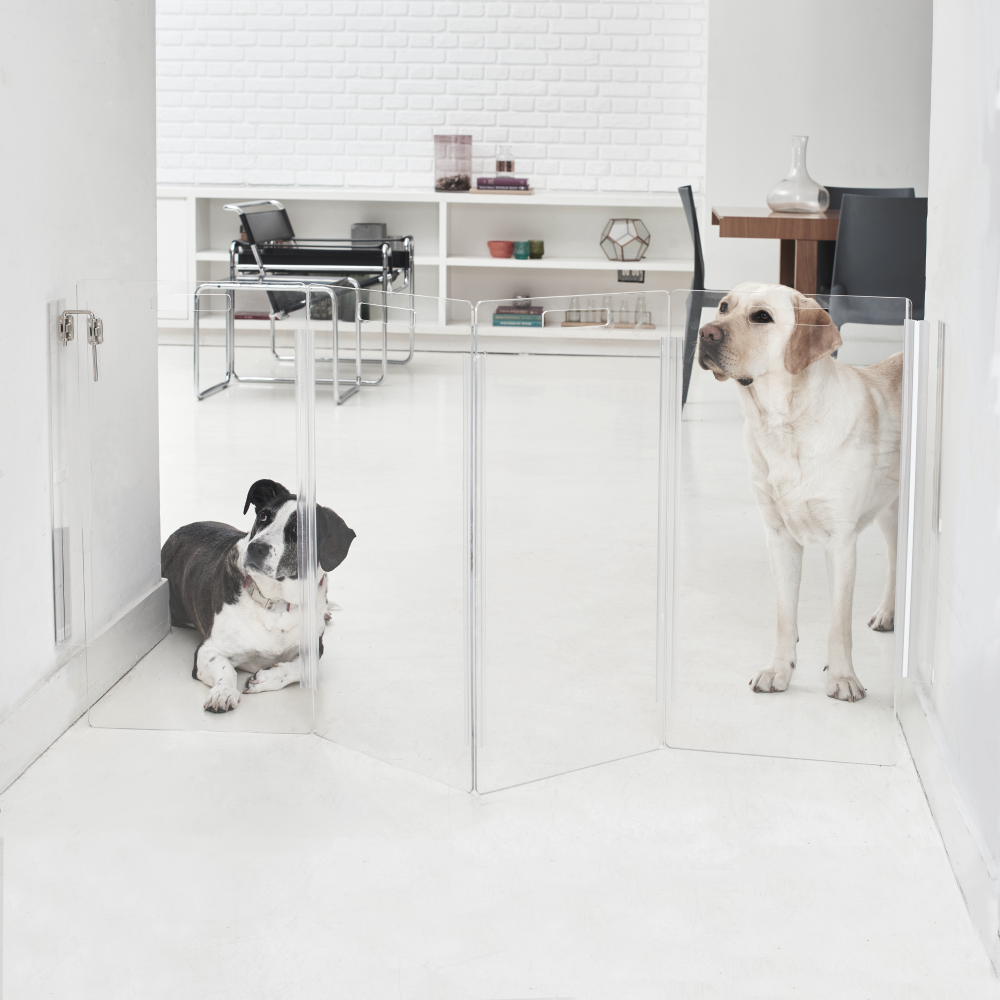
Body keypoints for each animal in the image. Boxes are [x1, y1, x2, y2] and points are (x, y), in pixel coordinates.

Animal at [160, 476, 356, 712]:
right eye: (263, 516)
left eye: (298, 530)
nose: (256, 548)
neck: (276, 601)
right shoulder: (207, 650)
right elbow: (226, 667)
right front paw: (223, 692)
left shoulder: (315, 648)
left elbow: (304, 668)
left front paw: (266, 678)